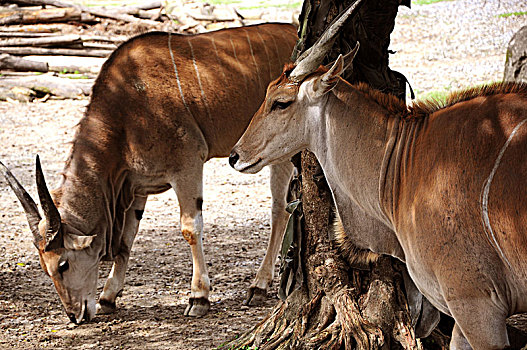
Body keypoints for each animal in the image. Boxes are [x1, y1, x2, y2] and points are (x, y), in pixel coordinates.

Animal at [0, 23, 300, 324]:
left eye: (63, 264)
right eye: (44, 267)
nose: (74, 315)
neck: (127, 107)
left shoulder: (187, 165)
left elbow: (190, 228)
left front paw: (198, 298)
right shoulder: (136, 186)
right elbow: (125, 241)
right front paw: (108, 296)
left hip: (280, 153)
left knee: (279, 209)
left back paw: (258, 285)